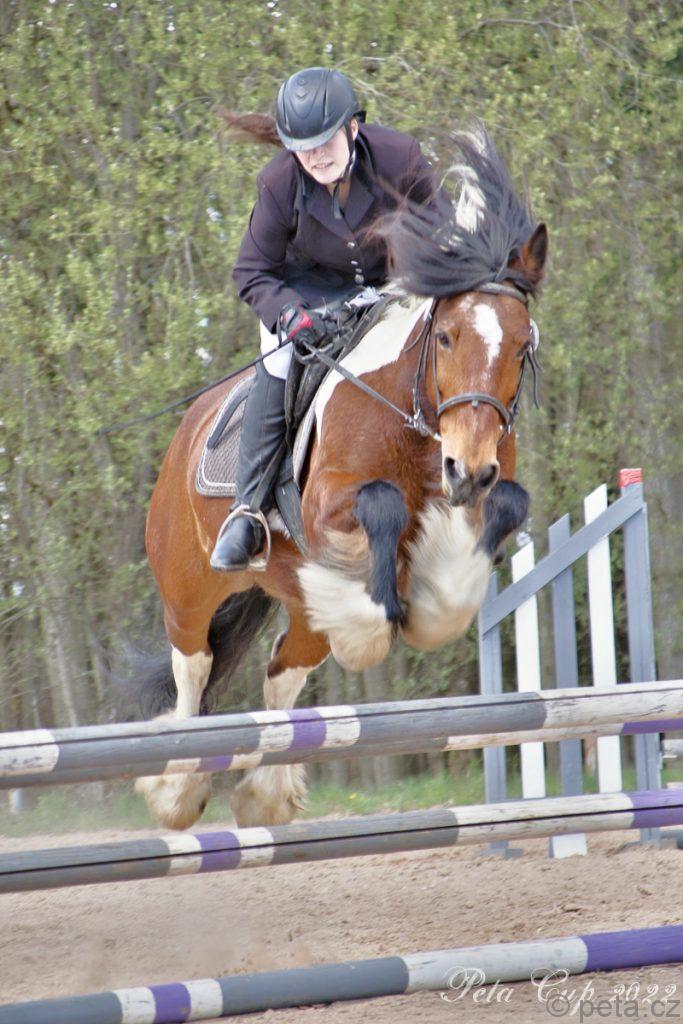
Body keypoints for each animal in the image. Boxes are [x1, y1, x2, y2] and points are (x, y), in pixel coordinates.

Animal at [136, 127, 548, 831]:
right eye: (445, 336)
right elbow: (381, 504)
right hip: (187, 587)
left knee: (281, 672)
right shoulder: (328, 503)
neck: (416, 415)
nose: (467, 470)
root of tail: (187, 431)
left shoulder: (484, 486)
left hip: (298, 614)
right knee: (193, 669)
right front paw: (378, 617)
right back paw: (180, 788)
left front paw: (429, 605)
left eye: (522, 347)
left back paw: (265, 794)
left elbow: (506, 507)